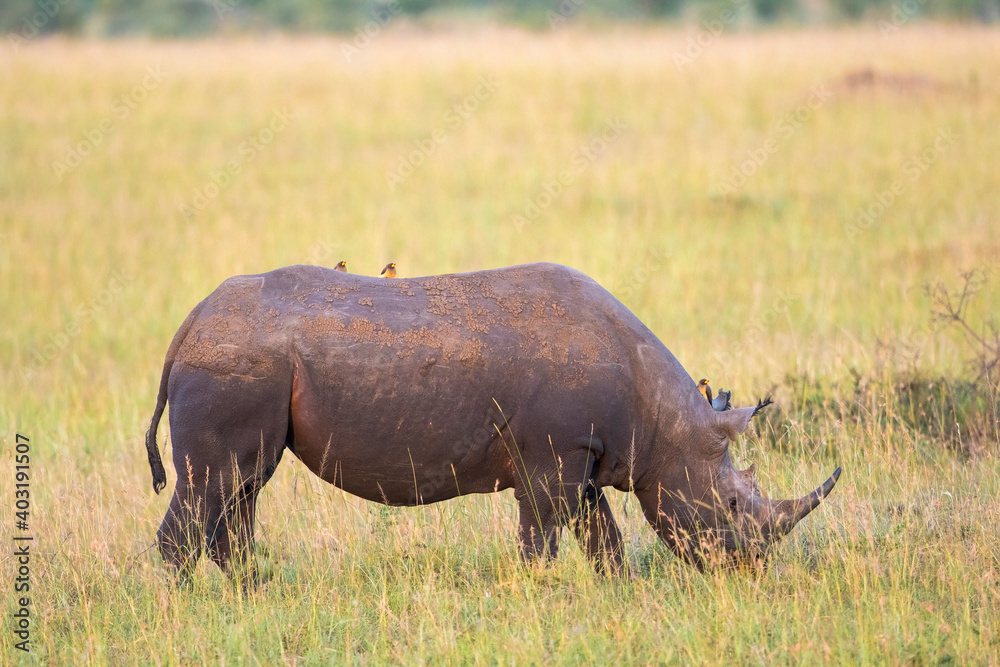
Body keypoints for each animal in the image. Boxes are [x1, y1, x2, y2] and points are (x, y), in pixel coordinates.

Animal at [145, 263, 840, 581]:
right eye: (730, 505)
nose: (746, 569)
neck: (664, 418)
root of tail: (185, 329)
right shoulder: (554, 455)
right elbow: (543, 538)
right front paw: (541, 593)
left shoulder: (583, 453)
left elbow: (602, 537)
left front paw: (615, 590)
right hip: (233, 366)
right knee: (215, 483)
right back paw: (193, 607)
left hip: (245, 362)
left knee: (241, 487)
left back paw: (251, 590)